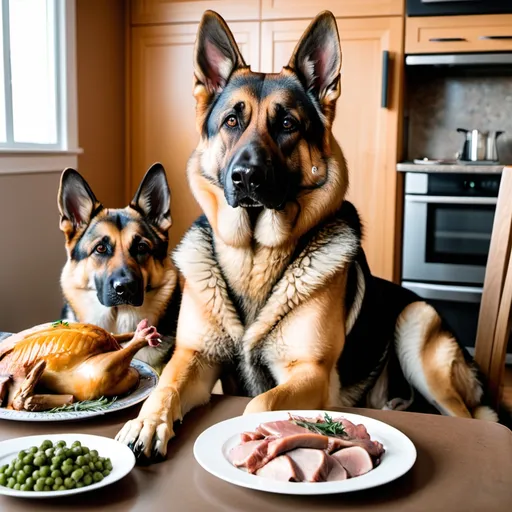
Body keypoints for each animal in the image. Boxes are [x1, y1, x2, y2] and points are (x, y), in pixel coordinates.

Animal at [114, 10, 506, 462]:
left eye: (287, 124)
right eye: (232, 121)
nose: (245, 177)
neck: (255, 254)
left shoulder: (310, 373)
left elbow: (260, 403)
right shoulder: (195, 358)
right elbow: (166, 385)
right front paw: (146, 422)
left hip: (415, 322)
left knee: (468, 415)